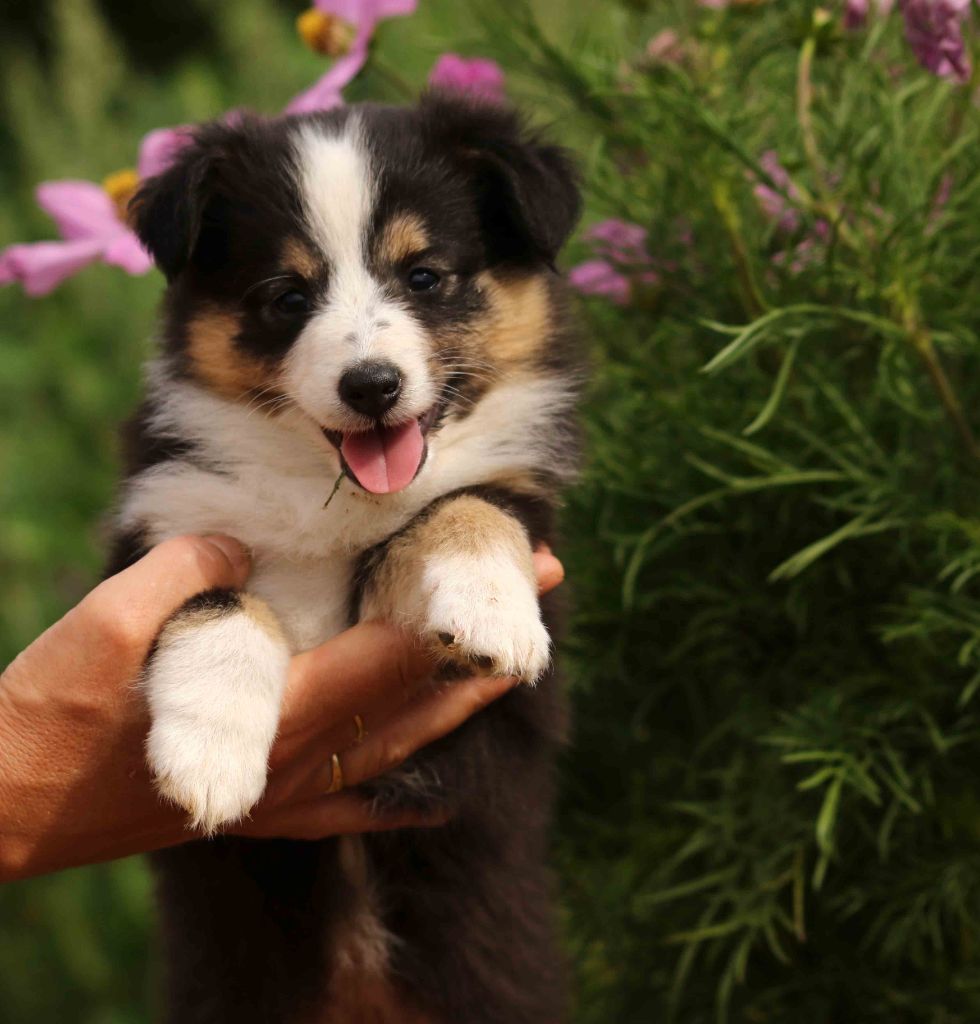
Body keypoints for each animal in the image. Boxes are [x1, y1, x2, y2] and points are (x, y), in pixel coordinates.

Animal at [108, 92, 581, 1019]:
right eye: (287, 296)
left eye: (424, 276)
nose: (371, 386)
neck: (325, 489)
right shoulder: (160, 528)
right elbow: (219, 599)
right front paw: (209, 751)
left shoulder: (486, 700)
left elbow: (464, 506)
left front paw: (489, 609)